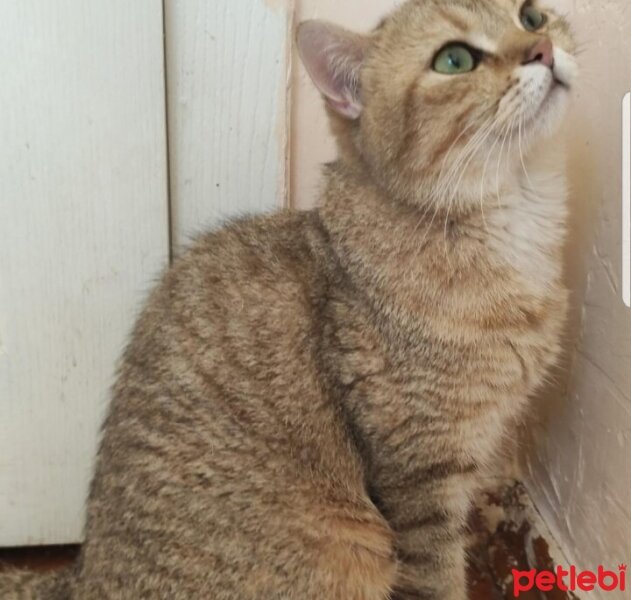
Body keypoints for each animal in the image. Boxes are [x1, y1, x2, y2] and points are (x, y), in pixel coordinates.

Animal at [0, 0, 576, 596]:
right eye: (455, 59)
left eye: (531, 16)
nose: (543, 49)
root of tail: (79, 575)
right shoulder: (420, 479)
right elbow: (437, 576)